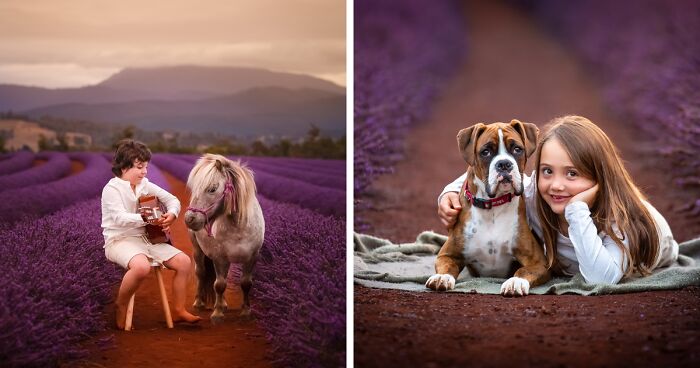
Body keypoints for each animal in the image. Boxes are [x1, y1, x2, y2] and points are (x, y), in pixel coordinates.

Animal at [424, 120, 548, 296]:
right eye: (486, 152)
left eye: (517, 149)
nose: (504, 164)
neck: (492, 207)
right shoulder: (447, 254)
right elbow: (447, 266)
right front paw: (442, 277)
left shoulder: (538, 262)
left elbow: (523, 271)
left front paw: (515, 282)